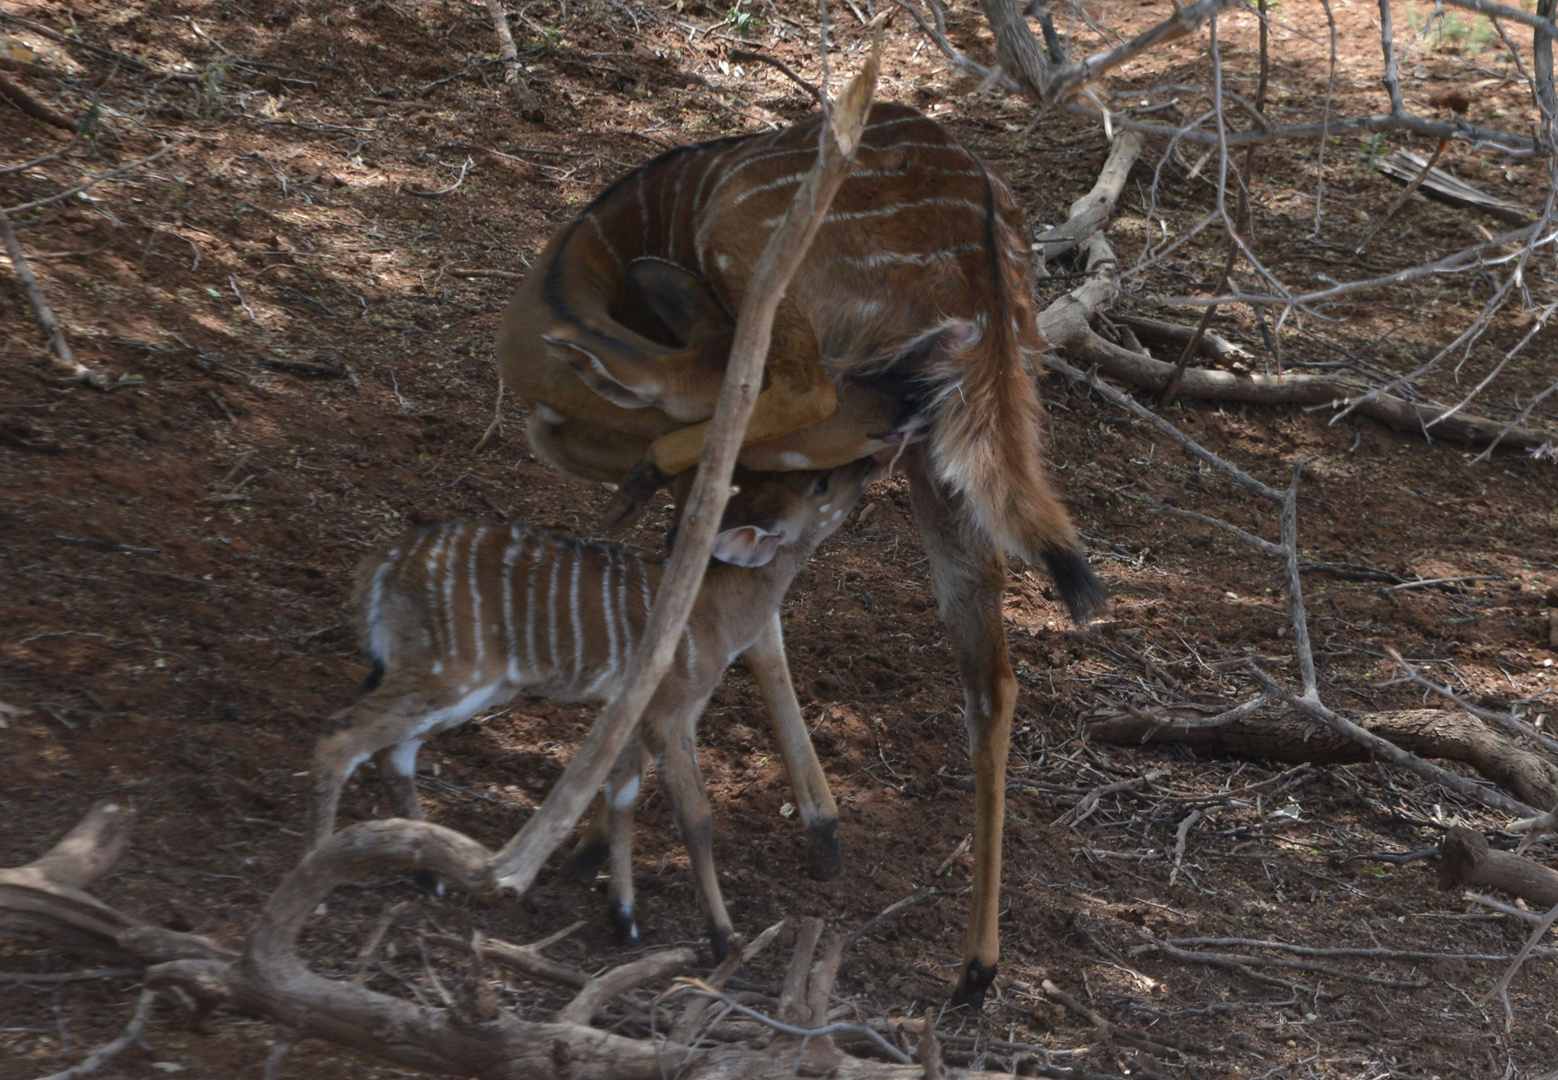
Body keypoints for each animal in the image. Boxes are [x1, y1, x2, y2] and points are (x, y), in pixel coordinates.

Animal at [310, 455, 884, 953]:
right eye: (820, 483)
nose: (866, 463)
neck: (718, 612)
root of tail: (381, 569)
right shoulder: (669, 712)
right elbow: (695, 816)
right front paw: (724, 940)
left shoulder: (637, 712)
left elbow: (622, 794)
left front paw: (625, 921)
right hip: (449, 674)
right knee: (340, 737)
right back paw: (315, 876)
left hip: (462, 686)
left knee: (393, 751)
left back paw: (429, 878)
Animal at [498, 98, 1109, 1003]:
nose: (898, 400)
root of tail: (979, 252)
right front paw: (823, 827)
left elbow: (712, 597)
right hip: (953, 446)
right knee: (991, 676)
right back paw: (975, 966)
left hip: (766, 276)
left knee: (797, 391)